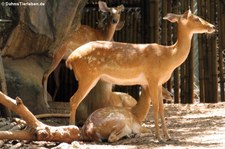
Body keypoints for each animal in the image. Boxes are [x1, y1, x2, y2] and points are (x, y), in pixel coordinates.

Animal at [66, 10, 215, 141]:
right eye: (196, 18)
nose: (212, 26)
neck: (168, 57)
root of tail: (71, 59)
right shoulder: (152, 77)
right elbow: (155, 107)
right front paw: (159, 137)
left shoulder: (159, 82)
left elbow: (162, 108)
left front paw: (168, 136)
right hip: (87, 75)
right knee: (73, 100)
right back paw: (73, 131)